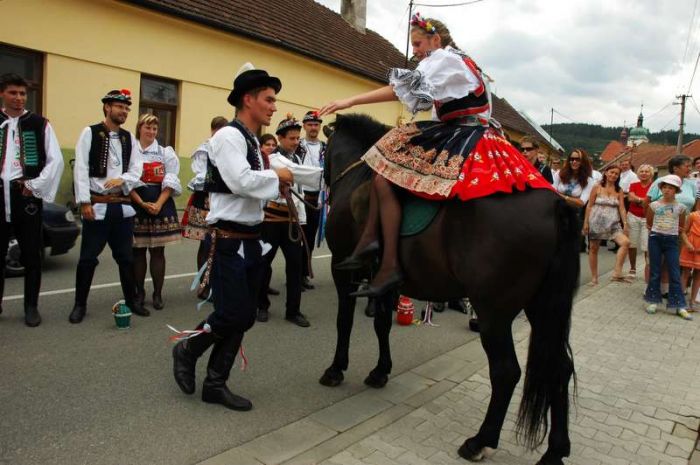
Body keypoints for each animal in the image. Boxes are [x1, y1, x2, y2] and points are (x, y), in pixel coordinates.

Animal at [319, 114, 580, 465]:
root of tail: (556, 205)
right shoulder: (382, 282)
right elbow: (382, 324)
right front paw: (380, 372)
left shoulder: (342, 269)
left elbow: (344, 322)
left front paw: (336, 370)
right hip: (541, 307)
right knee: (559, 368)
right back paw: (555, 450)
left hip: (493, 313)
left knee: (506, 371)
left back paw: (479, 441)